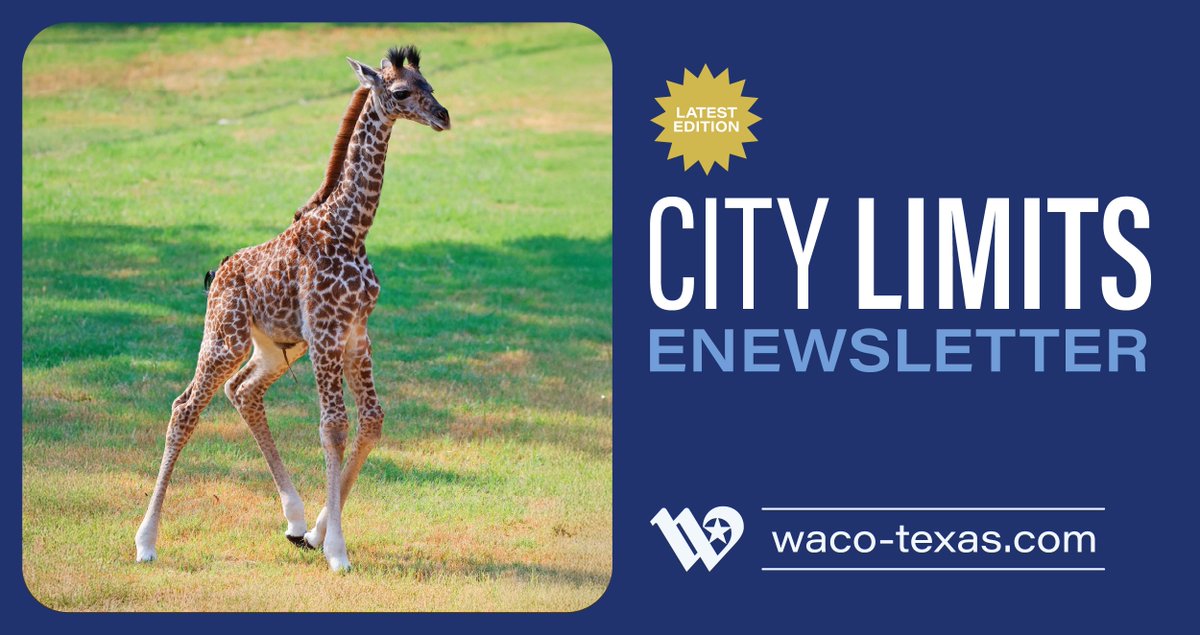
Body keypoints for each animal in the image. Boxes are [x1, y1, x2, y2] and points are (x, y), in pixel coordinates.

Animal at [134, 46, 450, 572]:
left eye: (430, 84)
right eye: (403, 91)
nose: (444, 115)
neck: (351, 229)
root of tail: (218, 273)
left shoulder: (355, 332)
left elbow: (372, 420)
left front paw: (319, 533)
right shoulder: (325, 329)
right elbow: (334, 427)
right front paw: (338, 552)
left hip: (277, 348)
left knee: (242, 391)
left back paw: (296, 520)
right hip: (226, 337)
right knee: (185, 407)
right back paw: (145, 541)